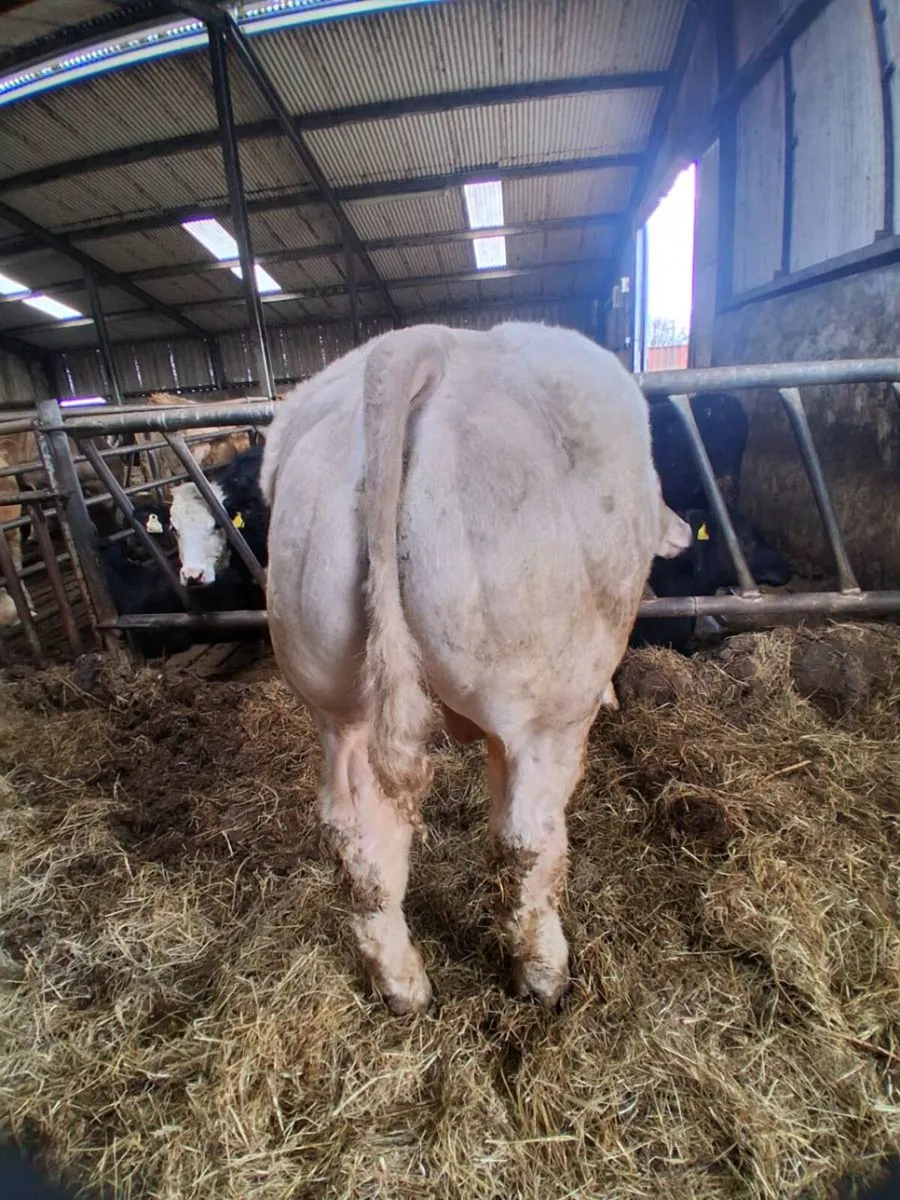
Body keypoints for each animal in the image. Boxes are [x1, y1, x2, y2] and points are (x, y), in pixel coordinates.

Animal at [260, 322, 692, 1014]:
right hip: (544, 705)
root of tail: (421, 344)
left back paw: (403, 985)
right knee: (526, 839)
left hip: (335, 696)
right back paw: (543, 974)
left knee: (358, 836)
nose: (679, 529)